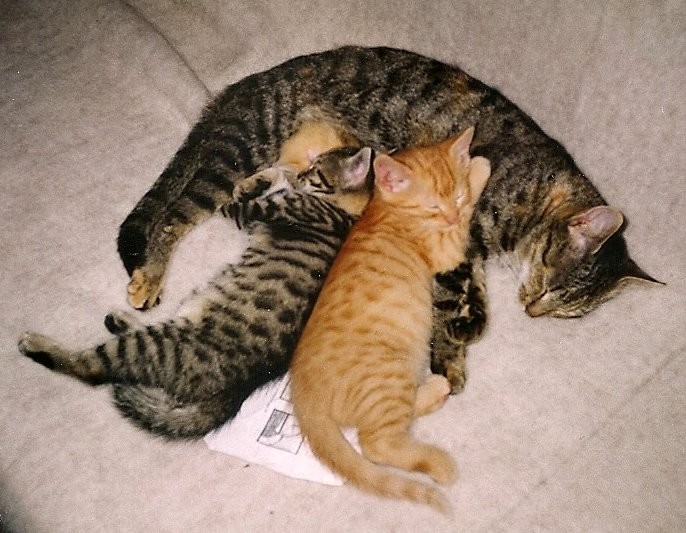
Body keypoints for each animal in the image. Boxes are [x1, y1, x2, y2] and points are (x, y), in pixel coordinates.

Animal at [18, 146, 374, 438]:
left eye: (315, 171)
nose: (302, 173)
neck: (346, 212)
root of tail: (234, 391)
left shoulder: (256, 212)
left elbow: (234, 200)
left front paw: (257, 181)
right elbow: (269, 178)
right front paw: (268, 175)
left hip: (158, 344)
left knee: (93, 368)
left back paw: (37, 345)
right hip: (181, 317)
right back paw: (117, 320)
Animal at [116, 46, 658, 396]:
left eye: (569, 313)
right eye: (551, 282)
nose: (534, 312)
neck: (537, 193)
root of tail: (247, 83)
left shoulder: (470, 251)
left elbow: (476, 299)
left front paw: (469, 329)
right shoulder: (457, 241)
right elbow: (450, 301)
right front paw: (450, 355)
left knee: (271, 178)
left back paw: (256, 188)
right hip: (236, 151)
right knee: (172, 216)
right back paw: (149, 277)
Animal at [290, 128, 491, 514]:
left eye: (455, 197)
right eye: (433, 207)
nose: (451, 215)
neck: (385, 211)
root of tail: (301, 396)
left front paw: (472, 169)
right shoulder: (445, 247)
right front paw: (479, 166)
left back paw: (436, 389)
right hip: (386, 379)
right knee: (376, 444)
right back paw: (440, 463)